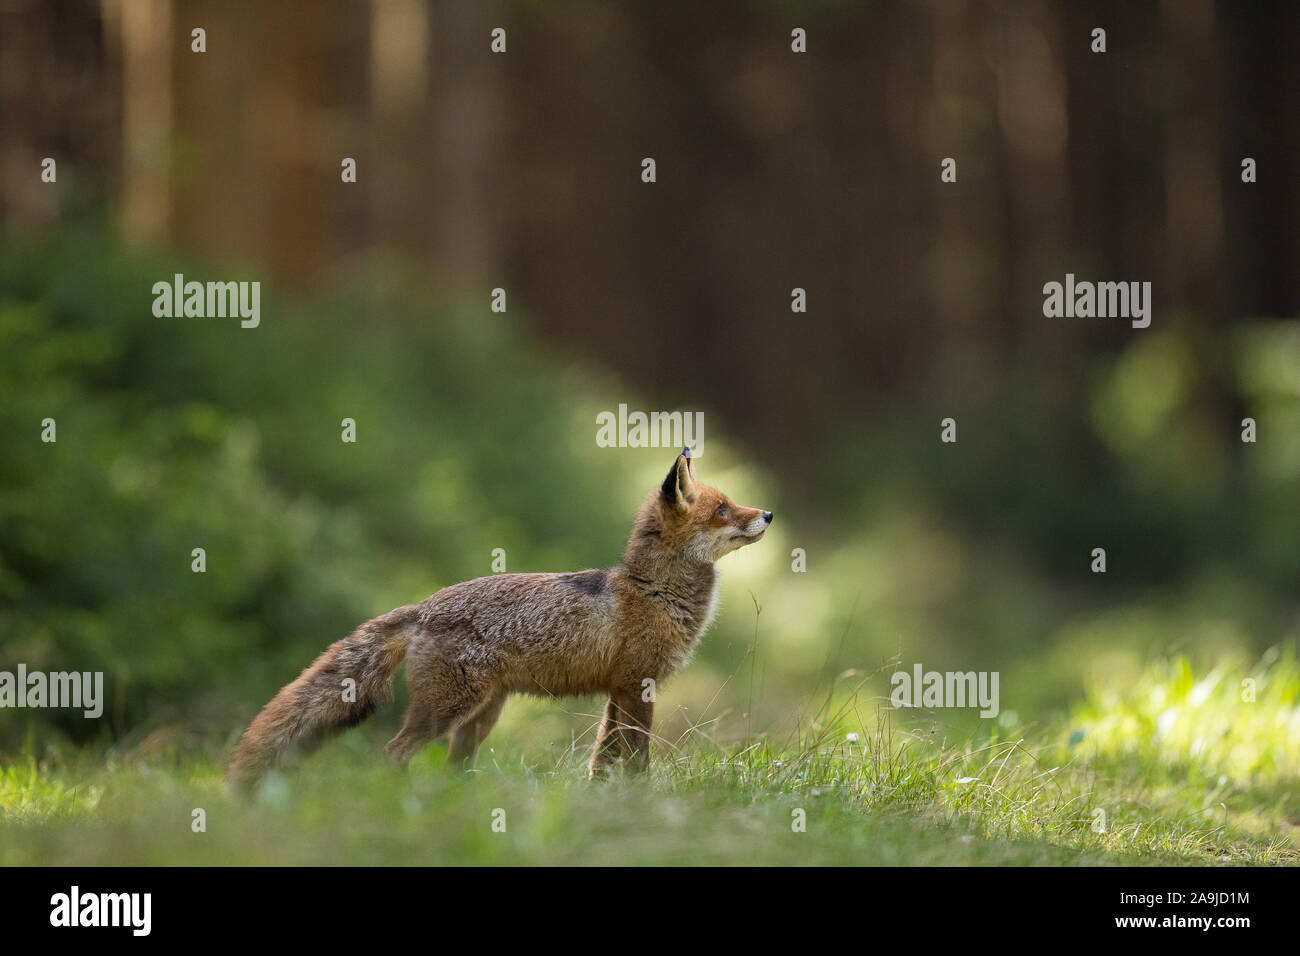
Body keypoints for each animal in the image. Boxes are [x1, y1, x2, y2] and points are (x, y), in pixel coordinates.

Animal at [228, 447, 764, 790]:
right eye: (722, 510)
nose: (769, 515)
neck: (653, 590)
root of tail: (422, 607)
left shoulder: (619, 689)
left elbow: (604, 756)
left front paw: (605, 799)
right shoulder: (638, 684)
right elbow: (636, 755)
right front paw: (640, 801)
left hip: (481, 716)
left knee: (451, 767)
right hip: (448, 709)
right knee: (394, 752)